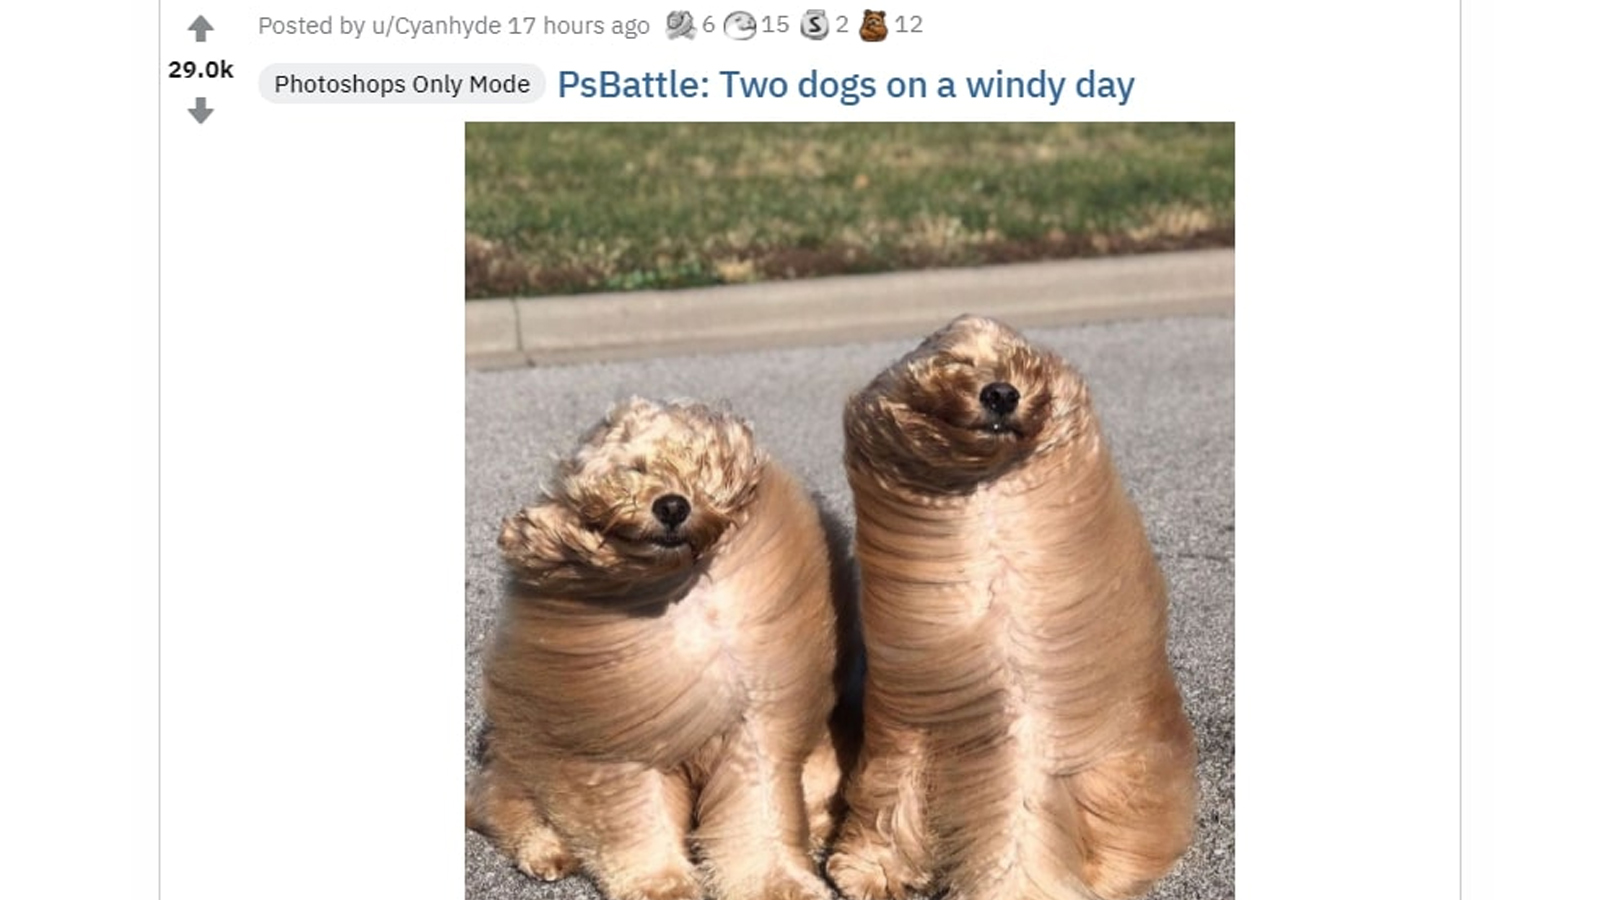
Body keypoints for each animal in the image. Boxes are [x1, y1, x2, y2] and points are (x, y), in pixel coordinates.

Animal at [468, 398, 847, 900]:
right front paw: (664, 885)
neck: (675, 582)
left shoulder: (755, 724)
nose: (671, 504)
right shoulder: (623, 738)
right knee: (504, 801)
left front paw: (779, 883)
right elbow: (639, 818)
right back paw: (547, 850)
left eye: (698, 464)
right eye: (635, 468)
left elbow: (759, 812)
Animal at [826, 316, 1196, 900]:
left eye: (1020, 360)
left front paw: (1013, 887)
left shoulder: (1026, 725)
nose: (1001, 393)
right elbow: (894, 783)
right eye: (956, 361)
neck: (985, 500)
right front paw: (871, 868)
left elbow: (1019, 820)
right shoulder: (910, 711)